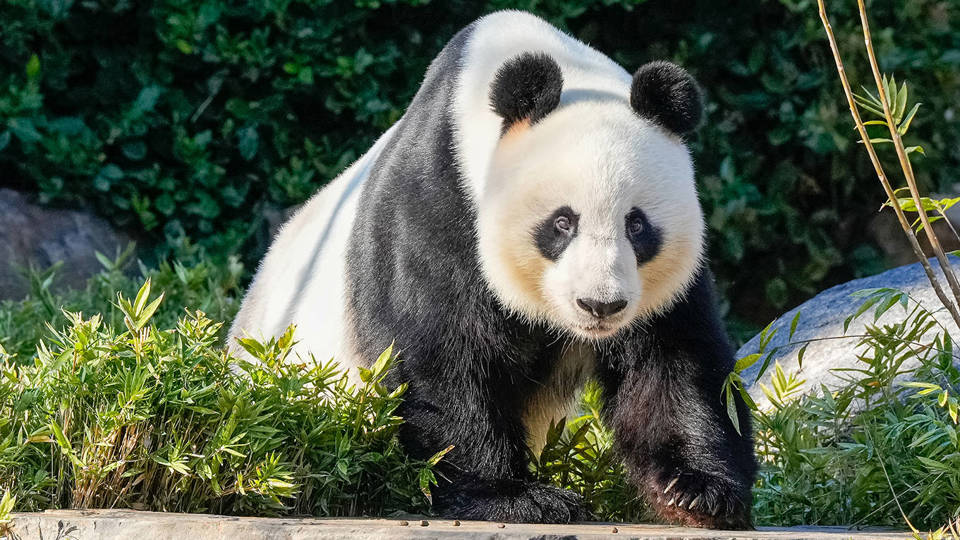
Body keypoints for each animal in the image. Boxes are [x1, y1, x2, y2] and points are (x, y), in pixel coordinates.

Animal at [230, 10, 756, 528]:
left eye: (637, 225)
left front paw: (696, 490)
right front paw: (517, 497)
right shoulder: (438, 204)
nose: (600, 305)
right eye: (562, 222)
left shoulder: (663, 285)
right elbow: (440, 356)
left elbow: (673, 361)